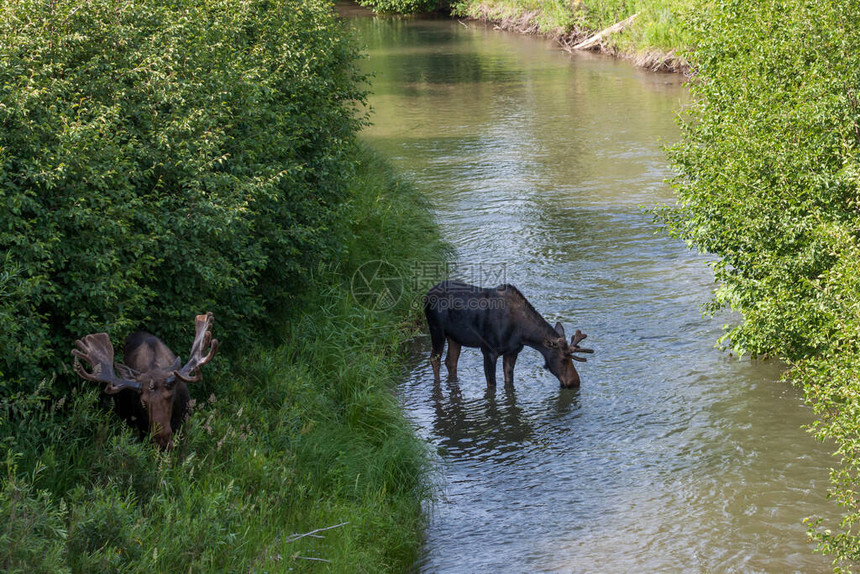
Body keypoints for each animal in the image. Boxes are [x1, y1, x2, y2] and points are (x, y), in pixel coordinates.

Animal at [424, 282, 592, 390]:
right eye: (563, 359)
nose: (575, 382)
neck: (524, 334)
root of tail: (426, 295)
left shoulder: (512, 352)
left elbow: (509, 384)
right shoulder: (488, 351)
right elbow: (492, 386)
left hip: (454, 337)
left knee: (450, 362)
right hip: (436, 330)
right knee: (434, 359)